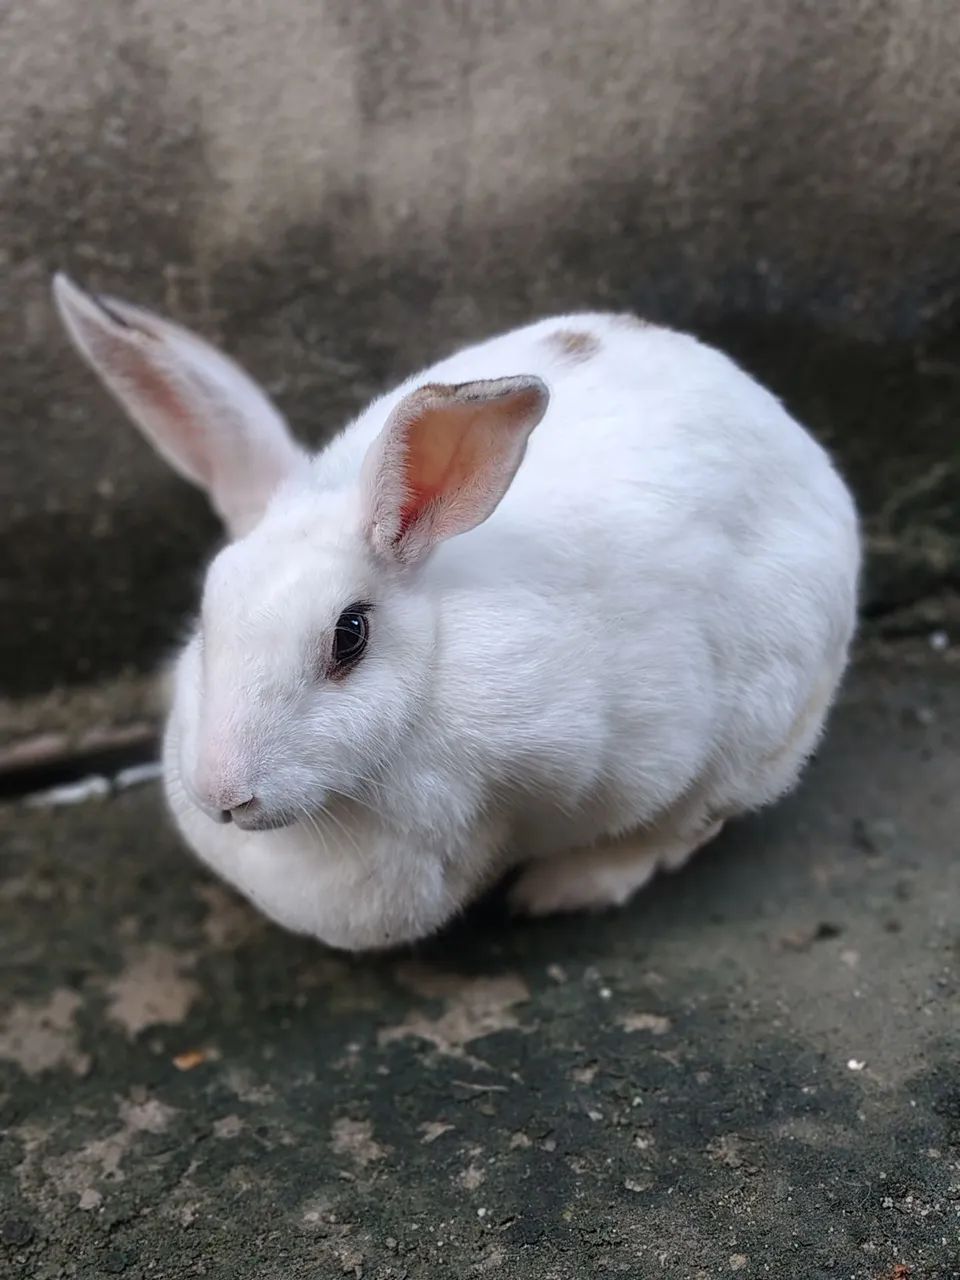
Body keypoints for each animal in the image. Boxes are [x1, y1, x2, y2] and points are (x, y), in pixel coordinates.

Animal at [53, 275, 860, 951]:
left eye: (350, 636)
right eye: (207, 614)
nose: (224, 795)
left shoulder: (657, 748)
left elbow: (665, 826)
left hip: (761, 723)